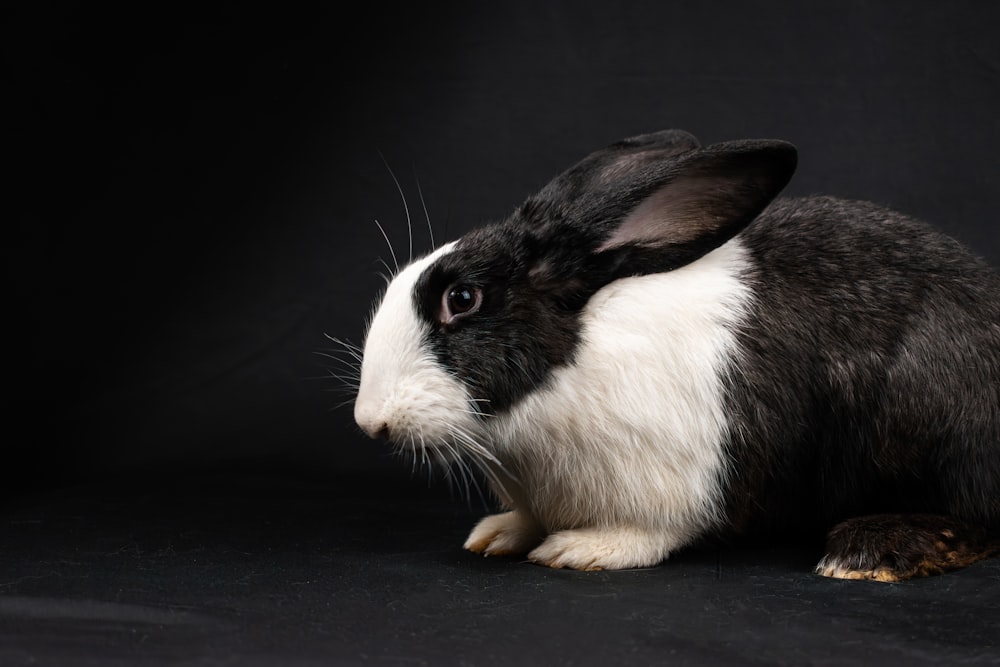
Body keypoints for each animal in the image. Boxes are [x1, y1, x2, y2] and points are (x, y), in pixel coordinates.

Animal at [348, 129, 996, 580]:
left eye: (462, 299)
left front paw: (580, 549)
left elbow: (650, 532)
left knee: (975, 519)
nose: (369, 422)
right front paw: (497, 534)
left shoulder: (671, 482)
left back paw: (868, 553)